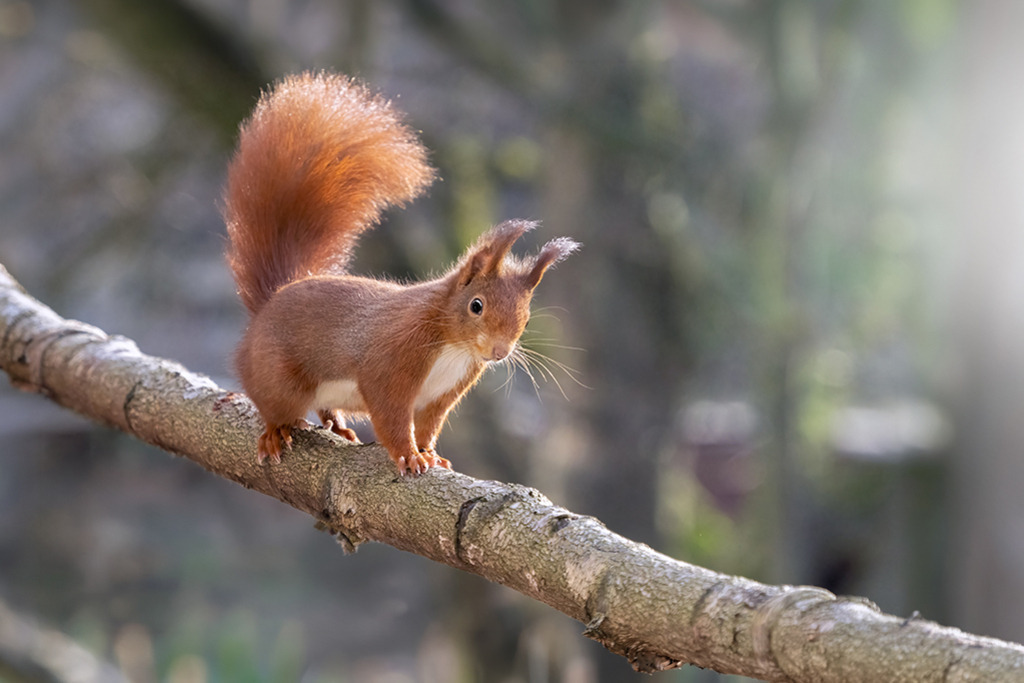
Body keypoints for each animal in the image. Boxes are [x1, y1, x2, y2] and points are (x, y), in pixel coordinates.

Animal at [222, 71, 578, 475]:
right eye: (476, 305)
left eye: (527, 318)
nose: (499, 352)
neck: (453, 344)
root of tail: (272, 300)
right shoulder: (392, 359)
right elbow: (391, 414)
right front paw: (409, 456)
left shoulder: (443, 393)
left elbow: (428, 424)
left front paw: (429, 453)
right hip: (278, 376)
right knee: (270, 403)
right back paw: (275, 431)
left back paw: (338, 426)